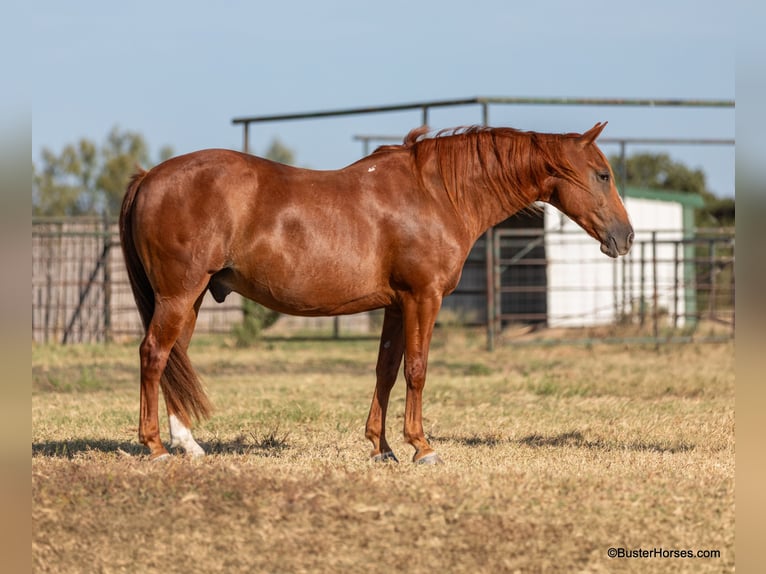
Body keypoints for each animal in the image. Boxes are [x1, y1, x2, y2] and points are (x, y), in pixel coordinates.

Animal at [119, 122, 633, 463]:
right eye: (602, 175)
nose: (625, 237)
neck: (436, 194)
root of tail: (149, 177)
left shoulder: (396, 305)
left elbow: (386, 370)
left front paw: (382, 447)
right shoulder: (423, 298)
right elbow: (417, 370)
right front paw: (422, 447)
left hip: (190, 297)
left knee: (175, 359)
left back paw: (189, 444)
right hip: (178, 295)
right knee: (154, 355)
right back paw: (155, 447)